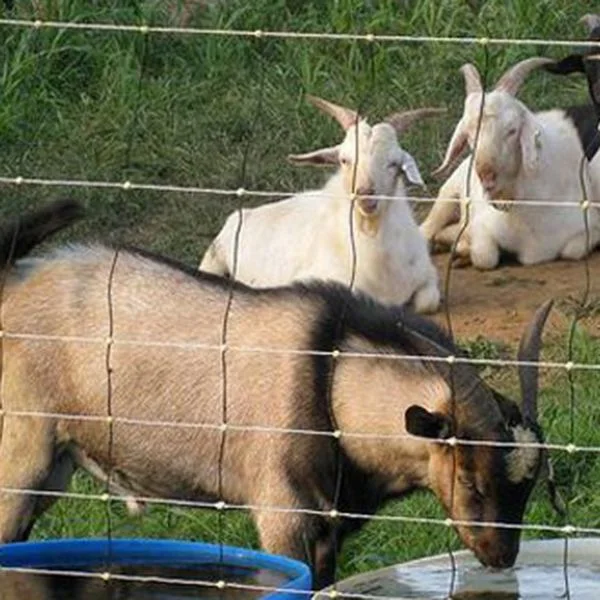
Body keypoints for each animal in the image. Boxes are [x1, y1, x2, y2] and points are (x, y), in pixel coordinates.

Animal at [199, 94, 442, 314]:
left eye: (394, 163)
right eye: (344, 160)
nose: (365, 194)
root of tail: (242, 214)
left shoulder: (427, 274)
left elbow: (427, 303)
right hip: (214, 258)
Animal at [420, 56, 600, 270]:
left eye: (512, 130)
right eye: (469, 135)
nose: (487, 177)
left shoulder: (589, 226)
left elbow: (572, 251)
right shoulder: (483, 225)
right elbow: (485, 257)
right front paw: (462, 247)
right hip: (449, 192)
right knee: (426, 229)